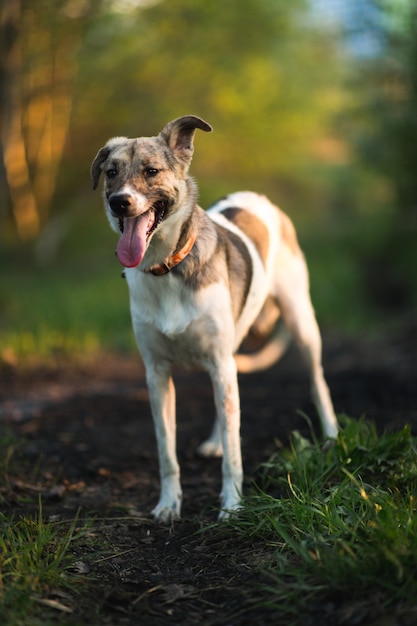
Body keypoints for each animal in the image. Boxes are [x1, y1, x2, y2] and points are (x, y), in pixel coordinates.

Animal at [91, 114, 338, 520]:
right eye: (111, 172)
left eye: (151, 170)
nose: (118, 202)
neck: (167, 268)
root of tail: (259, 198)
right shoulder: (157, 375)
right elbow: (167, 451)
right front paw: (168, 504)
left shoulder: (220, 362)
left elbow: (234, 455)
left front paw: (232, 506)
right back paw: (215, 440)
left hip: (301, 324)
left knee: (317, 381)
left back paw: (332, 433)